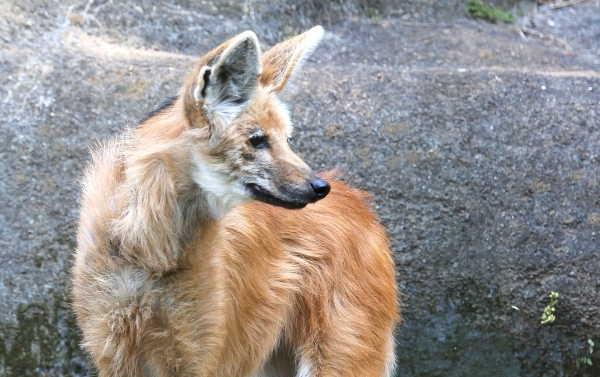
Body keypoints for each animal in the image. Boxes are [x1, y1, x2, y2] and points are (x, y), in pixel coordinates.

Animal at [72, 26, 400, 376]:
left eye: (287, 139)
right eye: (257, 140)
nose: (319, 187)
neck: (150, 249)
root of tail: (358, 200)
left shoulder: (195, 355)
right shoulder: (115, 350)